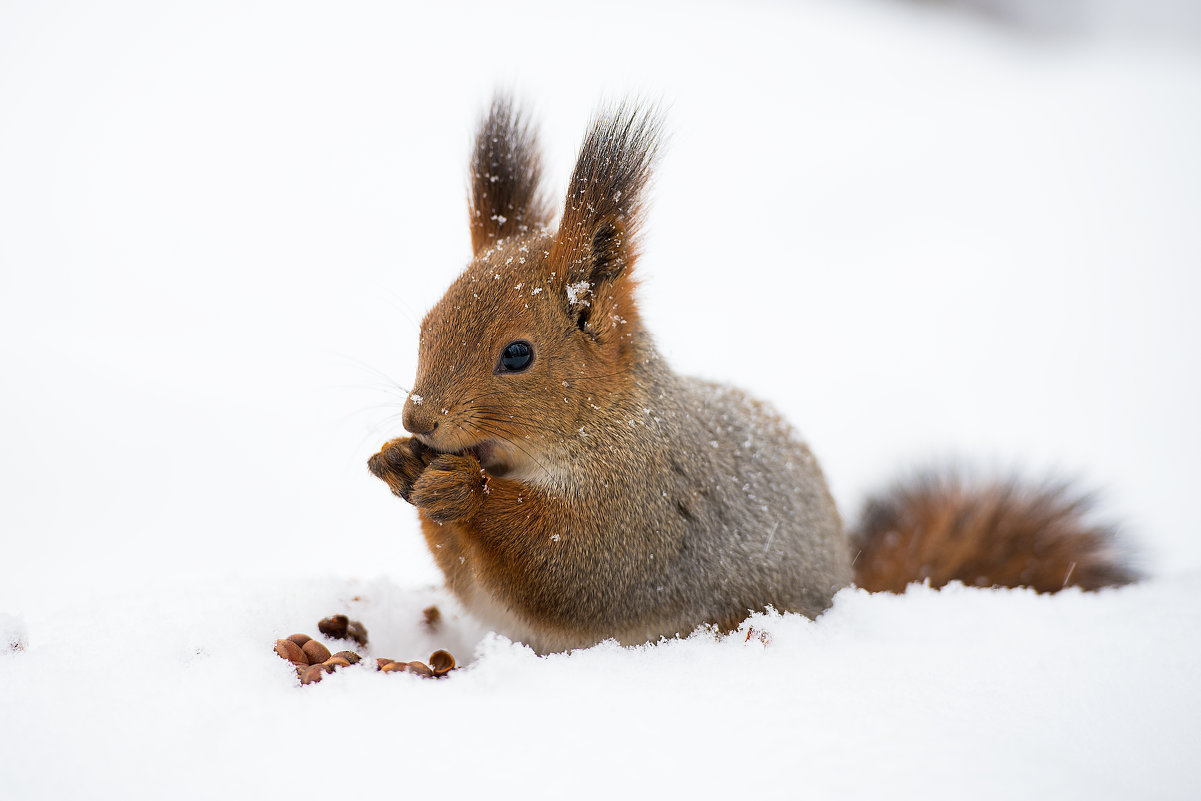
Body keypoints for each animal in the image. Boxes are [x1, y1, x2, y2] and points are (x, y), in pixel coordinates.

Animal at [367, 97, 1133, 653]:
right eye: (425, 325)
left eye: (517, 354)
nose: (417, 417)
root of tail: (851, 580)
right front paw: (400, 461)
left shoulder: (648, 513)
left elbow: (572, 568)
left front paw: (461, 488)